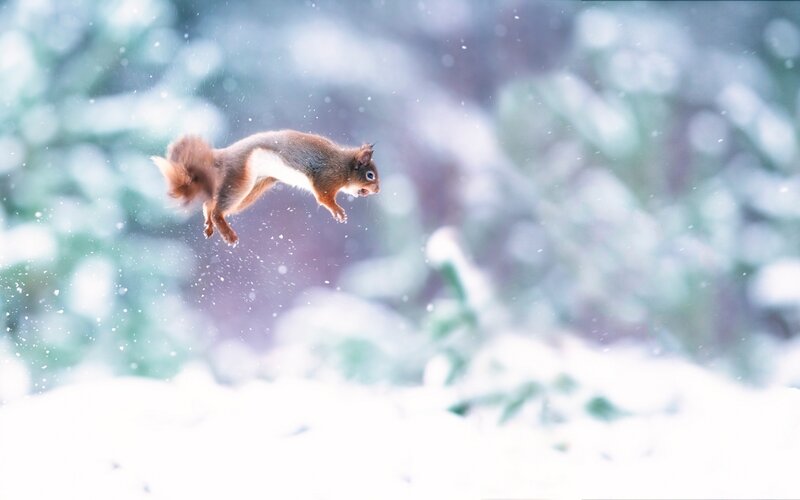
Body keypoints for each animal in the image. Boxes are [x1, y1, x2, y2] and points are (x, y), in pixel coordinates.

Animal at [151, 130, 380, 247]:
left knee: (210, 203)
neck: (343, 166)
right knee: (217, 210)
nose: (378, 190)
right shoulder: (326, 179)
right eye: (370, 175)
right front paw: (338, 212)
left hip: (254, 188)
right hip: (241, 181)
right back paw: (227, 234)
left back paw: (209, 224)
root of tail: (224, 155)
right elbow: (324, 199)